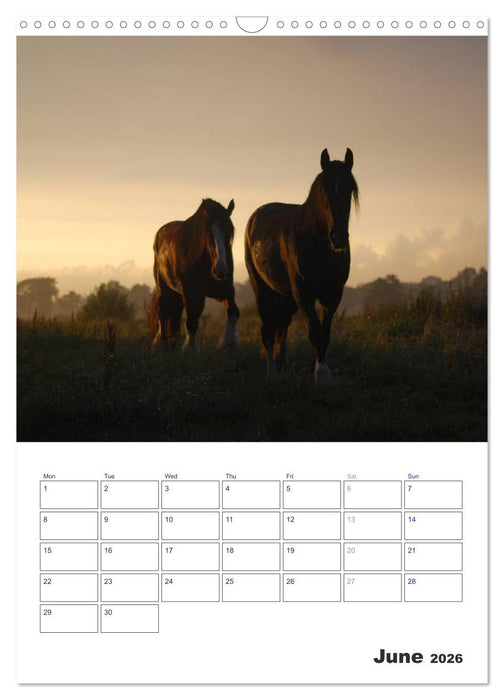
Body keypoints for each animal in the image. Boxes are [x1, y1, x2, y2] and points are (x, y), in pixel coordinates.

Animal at [151, 198, 239, 351]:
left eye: (230, 232)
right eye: (209, 233)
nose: (221, 269)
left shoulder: (224, 290)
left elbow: (233, 312)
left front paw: (230, 344)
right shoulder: (191, 293)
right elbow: (191, 322)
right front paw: (189, 349)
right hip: (163, 289)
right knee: (162, 316)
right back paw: (160, 345)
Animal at [245, 147, 358, 382]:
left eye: (349, 189)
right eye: (323, 189)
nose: (338, 238)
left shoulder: (333, 294)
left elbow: (324, 333)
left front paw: (323, 374)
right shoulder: (303, 294)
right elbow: (314, 332)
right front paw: (321, 375)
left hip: (285, 296)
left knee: (282, 326)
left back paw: (280, 365)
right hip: (261, 289)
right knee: (267, 329)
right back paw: (271, 371)